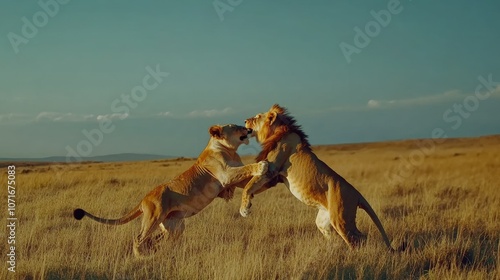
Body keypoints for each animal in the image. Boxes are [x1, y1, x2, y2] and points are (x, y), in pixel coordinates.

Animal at [72, 124, 268, 256]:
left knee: (156, 239)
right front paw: (262, 165)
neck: (230, 150)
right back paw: (141, 258)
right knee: (139, 238)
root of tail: (144, 199)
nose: (249, 129)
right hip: (154, 217)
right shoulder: (225, 174)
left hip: (174, 226)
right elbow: (248, 168)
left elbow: (247, 177)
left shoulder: (234, 178)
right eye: (236, 127)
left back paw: (158, 252)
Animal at [240, 104, 392, 249]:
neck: (277, 131)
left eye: (257, 116)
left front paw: (244, 209)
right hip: (324, 220)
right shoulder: (274, 178)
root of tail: (357, 194)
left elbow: (247, 187)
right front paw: (249, 202)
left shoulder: (271, 169)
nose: (245, 121)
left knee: (359, 238)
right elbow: (253, 186)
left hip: (341, 219)